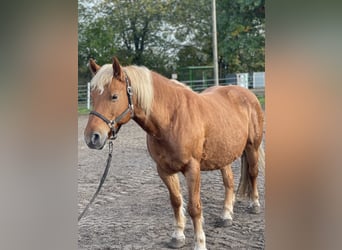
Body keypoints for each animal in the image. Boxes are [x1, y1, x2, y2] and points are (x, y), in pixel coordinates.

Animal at [85, 57, 264, 250]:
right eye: (92, 96)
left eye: (114, 96)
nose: (92, 137)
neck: (172, 119)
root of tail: (247, 94)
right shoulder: (164, 170)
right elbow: (176, 201)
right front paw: (178, 236)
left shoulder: (192, 169)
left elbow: (194, 207)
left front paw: (199, 243)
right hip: (223, 155)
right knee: (229, 182)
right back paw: (226, 215)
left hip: (252, 147)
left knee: (253, 173)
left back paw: (255, 204)